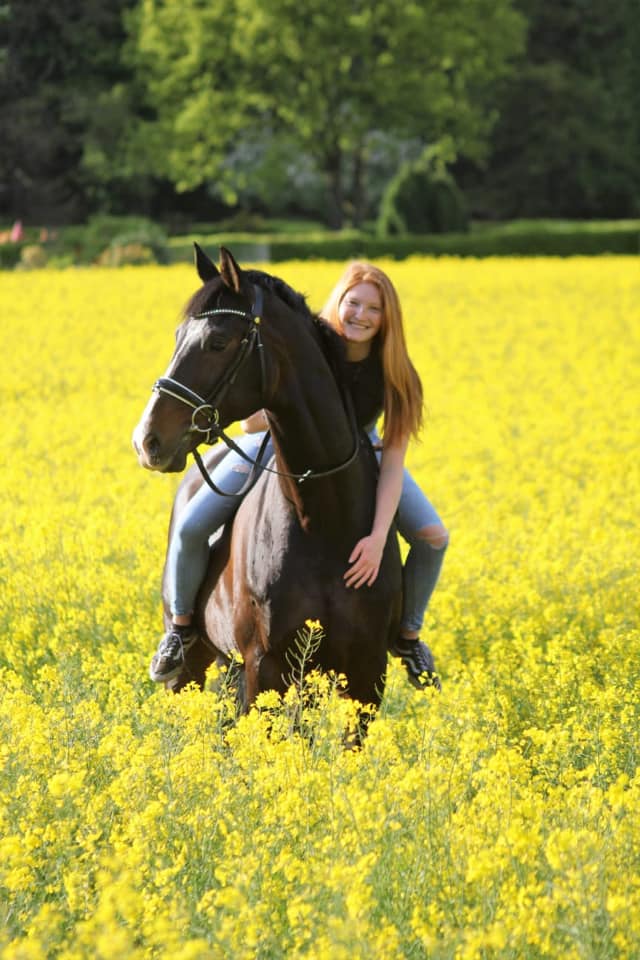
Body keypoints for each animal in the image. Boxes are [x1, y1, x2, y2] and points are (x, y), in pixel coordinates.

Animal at [131, 248, 400, 720]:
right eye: (179, 335)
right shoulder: (266, 666)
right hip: (196, 666)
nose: (147, 441)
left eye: (218, 342)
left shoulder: (367, 675)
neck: (322, 518)